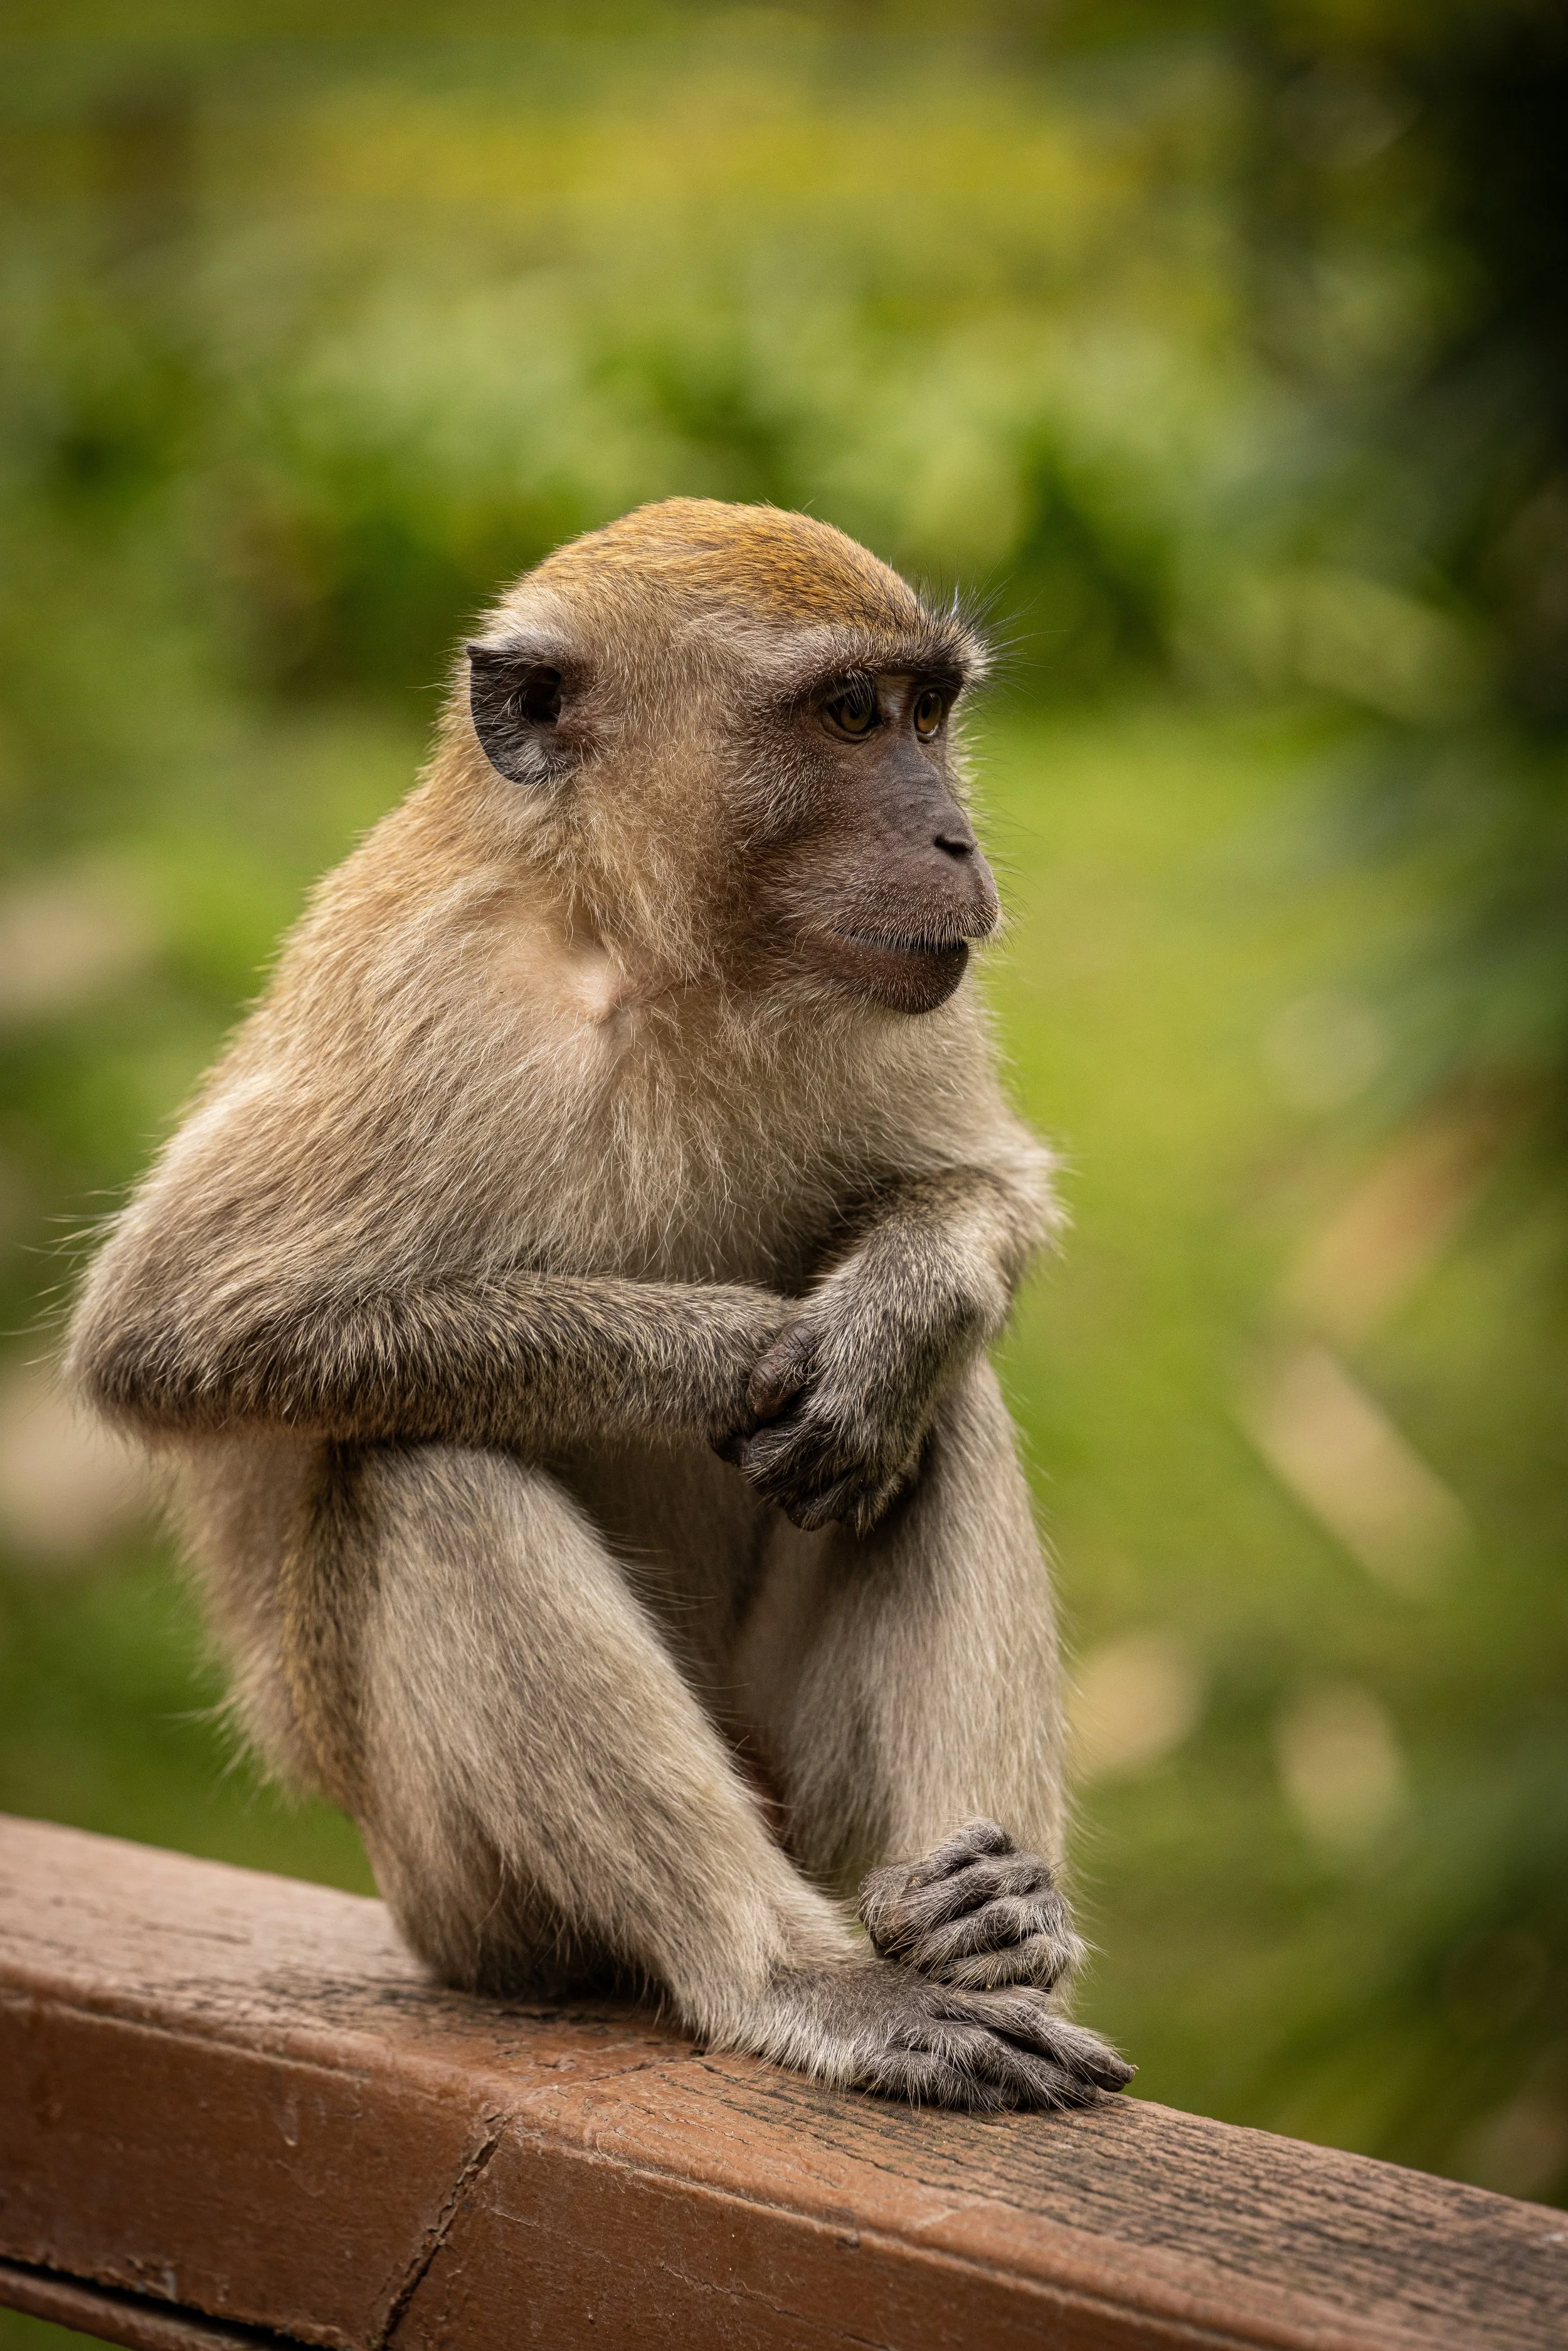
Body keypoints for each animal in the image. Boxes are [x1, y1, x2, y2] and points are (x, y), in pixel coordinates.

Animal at [67, 498, 1132, 2113]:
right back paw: (796, 1975)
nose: (954, 834)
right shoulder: (422, 994)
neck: (644, 948)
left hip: (794, 1781)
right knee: (418, 1472)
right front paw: (727, 1348)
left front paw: (884, 1321)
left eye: (927, 714)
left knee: (943, 1415)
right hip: (462, 1898)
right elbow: (169, 1333)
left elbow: (975, 1190)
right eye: (847, 714)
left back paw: (986, 1924)